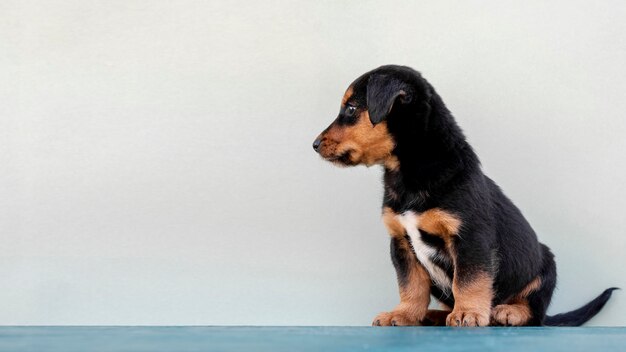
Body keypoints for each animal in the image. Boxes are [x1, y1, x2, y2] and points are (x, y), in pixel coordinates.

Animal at [312, 64, 616, 326]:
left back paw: (506, 312)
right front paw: (404, 314)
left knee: (534, 312)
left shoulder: (470, 238)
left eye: (351, 108)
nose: (314, 144)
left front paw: (468, 313)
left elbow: (468, 281)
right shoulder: (400, 242)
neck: (408, 172)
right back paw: (434, 315)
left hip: (545, 266)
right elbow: (411, 285)